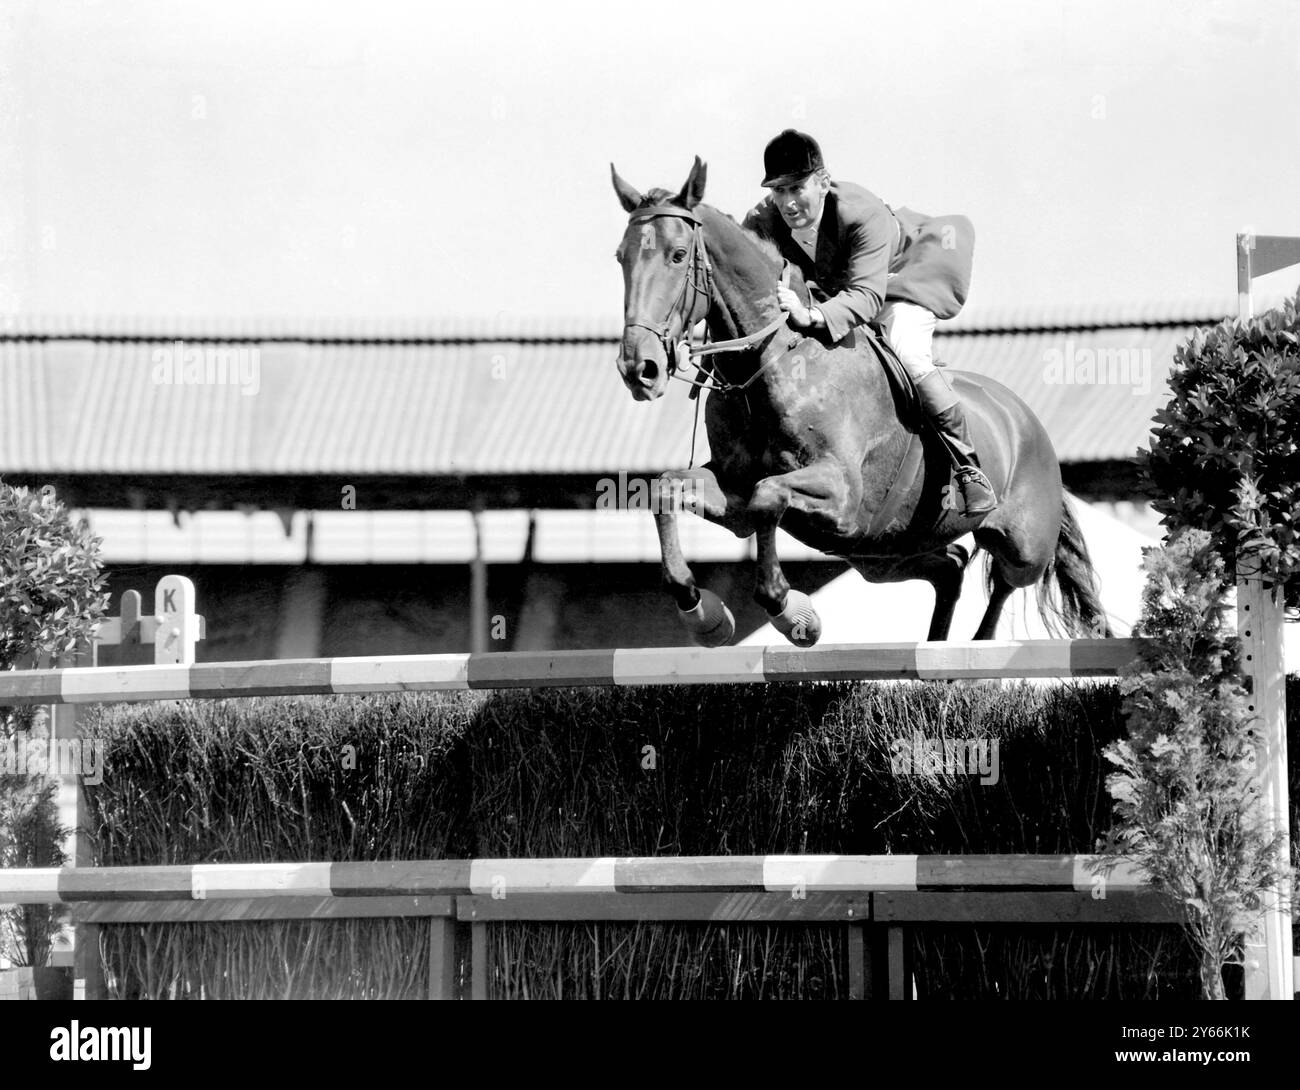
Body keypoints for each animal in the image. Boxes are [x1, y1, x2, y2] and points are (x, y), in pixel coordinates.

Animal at [611, 156, 1107, 647]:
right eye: (621, 257)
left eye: (678, 256)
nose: (639, 368)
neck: (769, 362)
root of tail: (1029, 422)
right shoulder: (736, 493)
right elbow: (668, 488)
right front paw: (703, 615)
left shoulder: (842, 493)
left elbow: (768, 496)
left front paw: (793, 613)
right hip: (882, 555)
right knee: (950, 567)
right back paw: (935, 646)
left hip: (1020, 545)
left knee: (1005, 580)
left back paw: (978, 641)